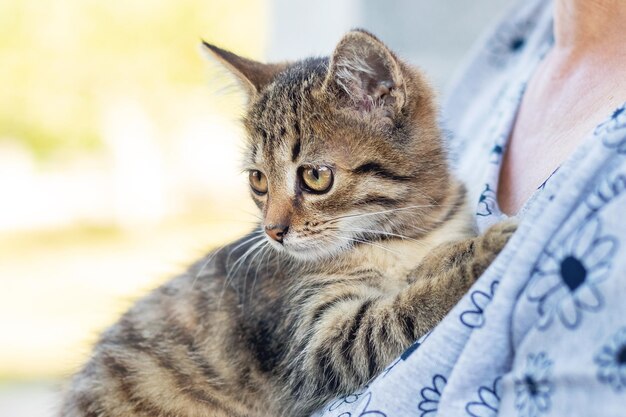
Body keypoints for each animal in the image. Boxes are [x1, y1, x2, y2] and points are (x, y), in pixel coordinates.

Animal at [59, 29, 512, 416]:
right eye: (258, 180)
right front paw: (487, 252)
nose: (273, 232)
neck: (401, 232)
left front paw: (457, 253)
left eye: (315, 176)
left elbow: (423, 271)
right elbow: (401, 311)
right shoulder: (316, 345)